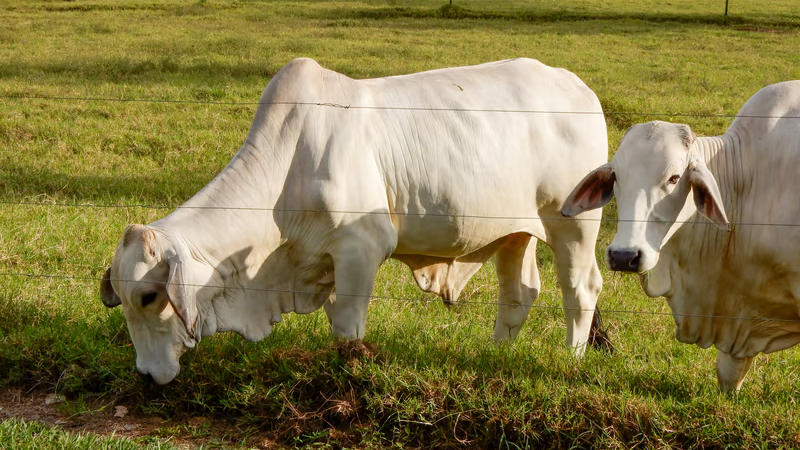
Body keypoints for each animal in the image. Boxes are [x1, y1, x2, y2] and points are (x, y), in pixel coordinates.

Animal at [99, 57, 609, 385]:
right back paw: (496, 355)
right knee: (518, 294)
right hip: (514, 232)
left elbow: (347, 330)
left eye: (149, 296)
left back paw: (571, 361)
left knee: (581, 290)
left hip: (573, 226)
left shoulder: (361, 250)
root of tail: (577, 86)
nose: (145, 376)